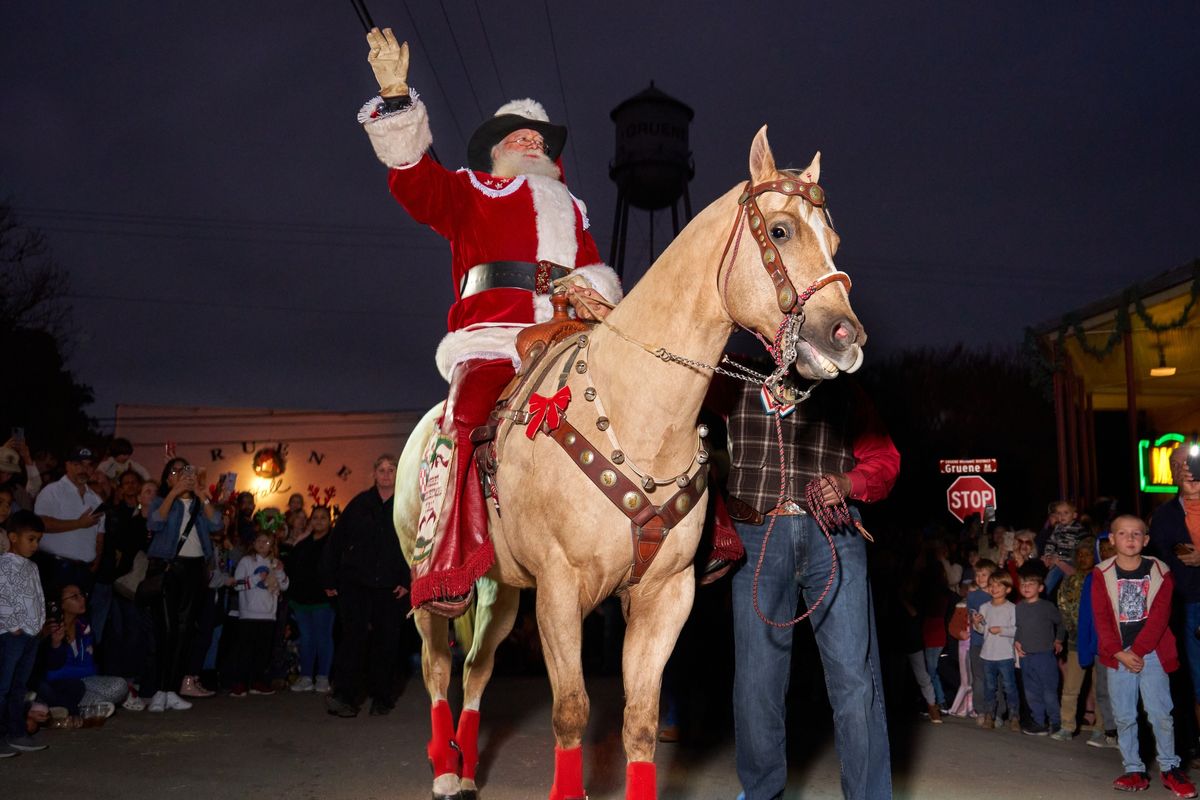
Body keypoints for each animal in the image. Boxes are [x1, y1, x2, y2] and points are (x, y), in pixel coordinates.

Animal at [398, 126, 868, 800]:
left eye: (834, 242)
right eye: (780, 231)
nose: (845, 338)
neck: (636, 413)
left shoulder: (664, 597)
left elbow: (640, 721)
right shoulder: (560, 591)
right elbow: (571, 711)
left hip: (501, 589)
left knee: (476, 669)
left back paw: (463, 769)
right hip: (433, 585)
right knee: (437, 666)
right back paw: (442, 767)